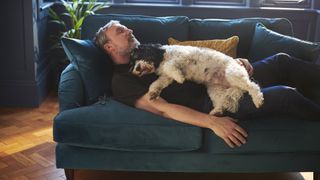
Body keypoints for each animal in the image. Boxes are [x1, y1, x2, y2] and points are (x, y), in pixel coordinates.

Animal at [129, 43, 264, 115]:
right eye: (131, 63)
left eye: (138, 56)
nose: (135, 69)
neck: (162, 56)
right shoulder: (166, 77)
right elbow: (156, 84)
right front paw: (152, 94)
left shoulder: (181, 58)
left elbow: (170, 66)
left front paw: (180, 78)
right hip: (214, 89)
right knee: (221, 101)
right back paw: (216, 112)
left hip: (233, 74)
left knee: (253, 87)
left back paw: (258, 101)